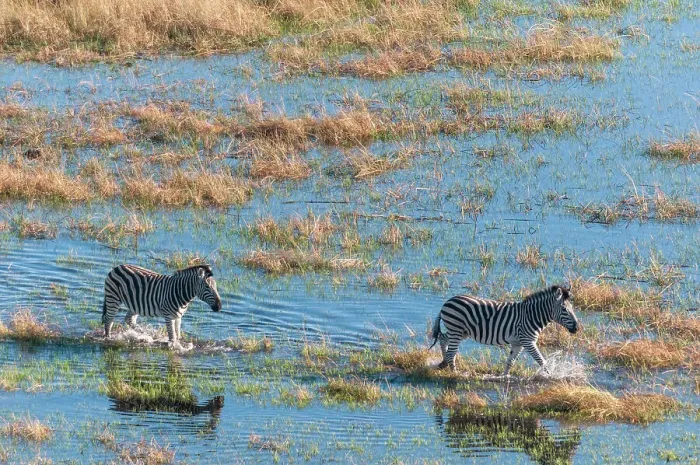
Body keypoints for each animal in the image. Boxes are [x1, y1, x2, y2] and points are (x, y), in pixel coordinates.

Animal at [429, 285, 579, 376]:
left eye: (572, 308)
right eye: (564, 309)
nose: (577, 328)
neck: (532, 316)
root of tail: (448, 301)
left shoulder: (518, 343)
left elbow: (510, 362)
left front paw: (504, 376)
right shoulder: (528, 341)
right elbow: (542, 361)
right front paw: (551, 376)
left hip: (461, 332)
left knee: (443, 339)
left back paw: (443, 363)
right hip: (456, 329)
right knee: (451, 352)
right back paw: (455, 374)